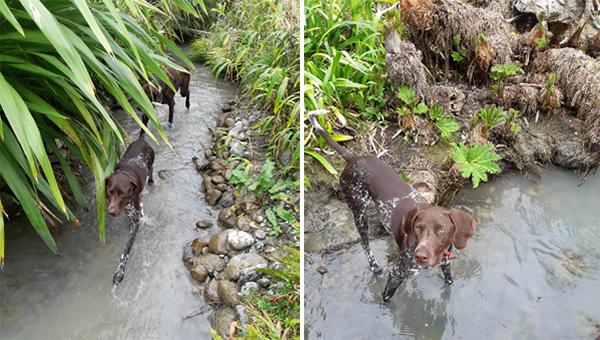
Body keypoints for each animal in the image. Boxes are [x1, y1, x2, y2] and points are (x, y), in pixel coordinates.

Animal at [106, 134, 156, 286]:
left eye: (122, 193)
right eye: (109, 192)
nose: (111, 211)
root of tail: (141, 138)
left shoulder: (135, 222)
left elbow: (125, 251)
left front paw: (119, 273)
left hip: (151, 162)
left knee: (151, 171)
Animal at [308, 110, 476, 302]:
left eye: (442, 230)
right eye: (418, 228)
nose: (420, 256)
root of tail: (353, 159)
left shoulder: (446, 265)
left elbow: (449, 283)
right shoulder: (396, 274)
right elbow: (386, 299)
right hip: (359, 212)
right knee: (365, 243)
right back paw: (374, 265)